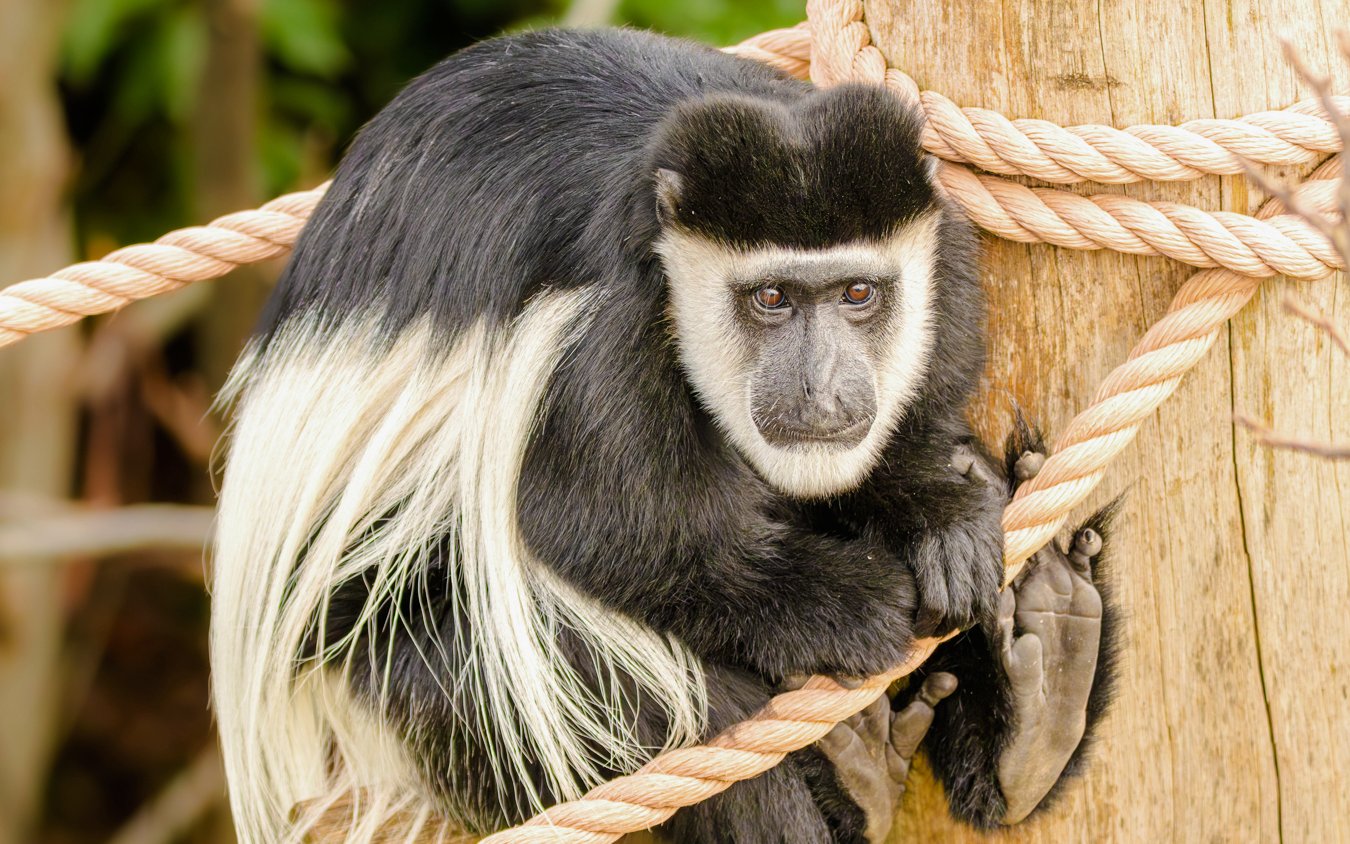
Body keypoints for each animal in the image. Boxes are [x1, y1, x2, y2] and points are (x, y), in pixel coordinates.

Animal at [210, 26, 1120, 844]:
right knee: (640, 695)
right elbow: (606, 528)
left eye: (859, 294)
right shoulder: (602, 334)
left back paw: (1040, 690)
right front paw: (851, 607)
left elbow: (918, 436)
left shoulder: (946, 267)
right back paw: (862, 767)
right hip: (398, 664)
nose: (822, 390)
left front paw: (943, 518)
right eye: (771, 300)